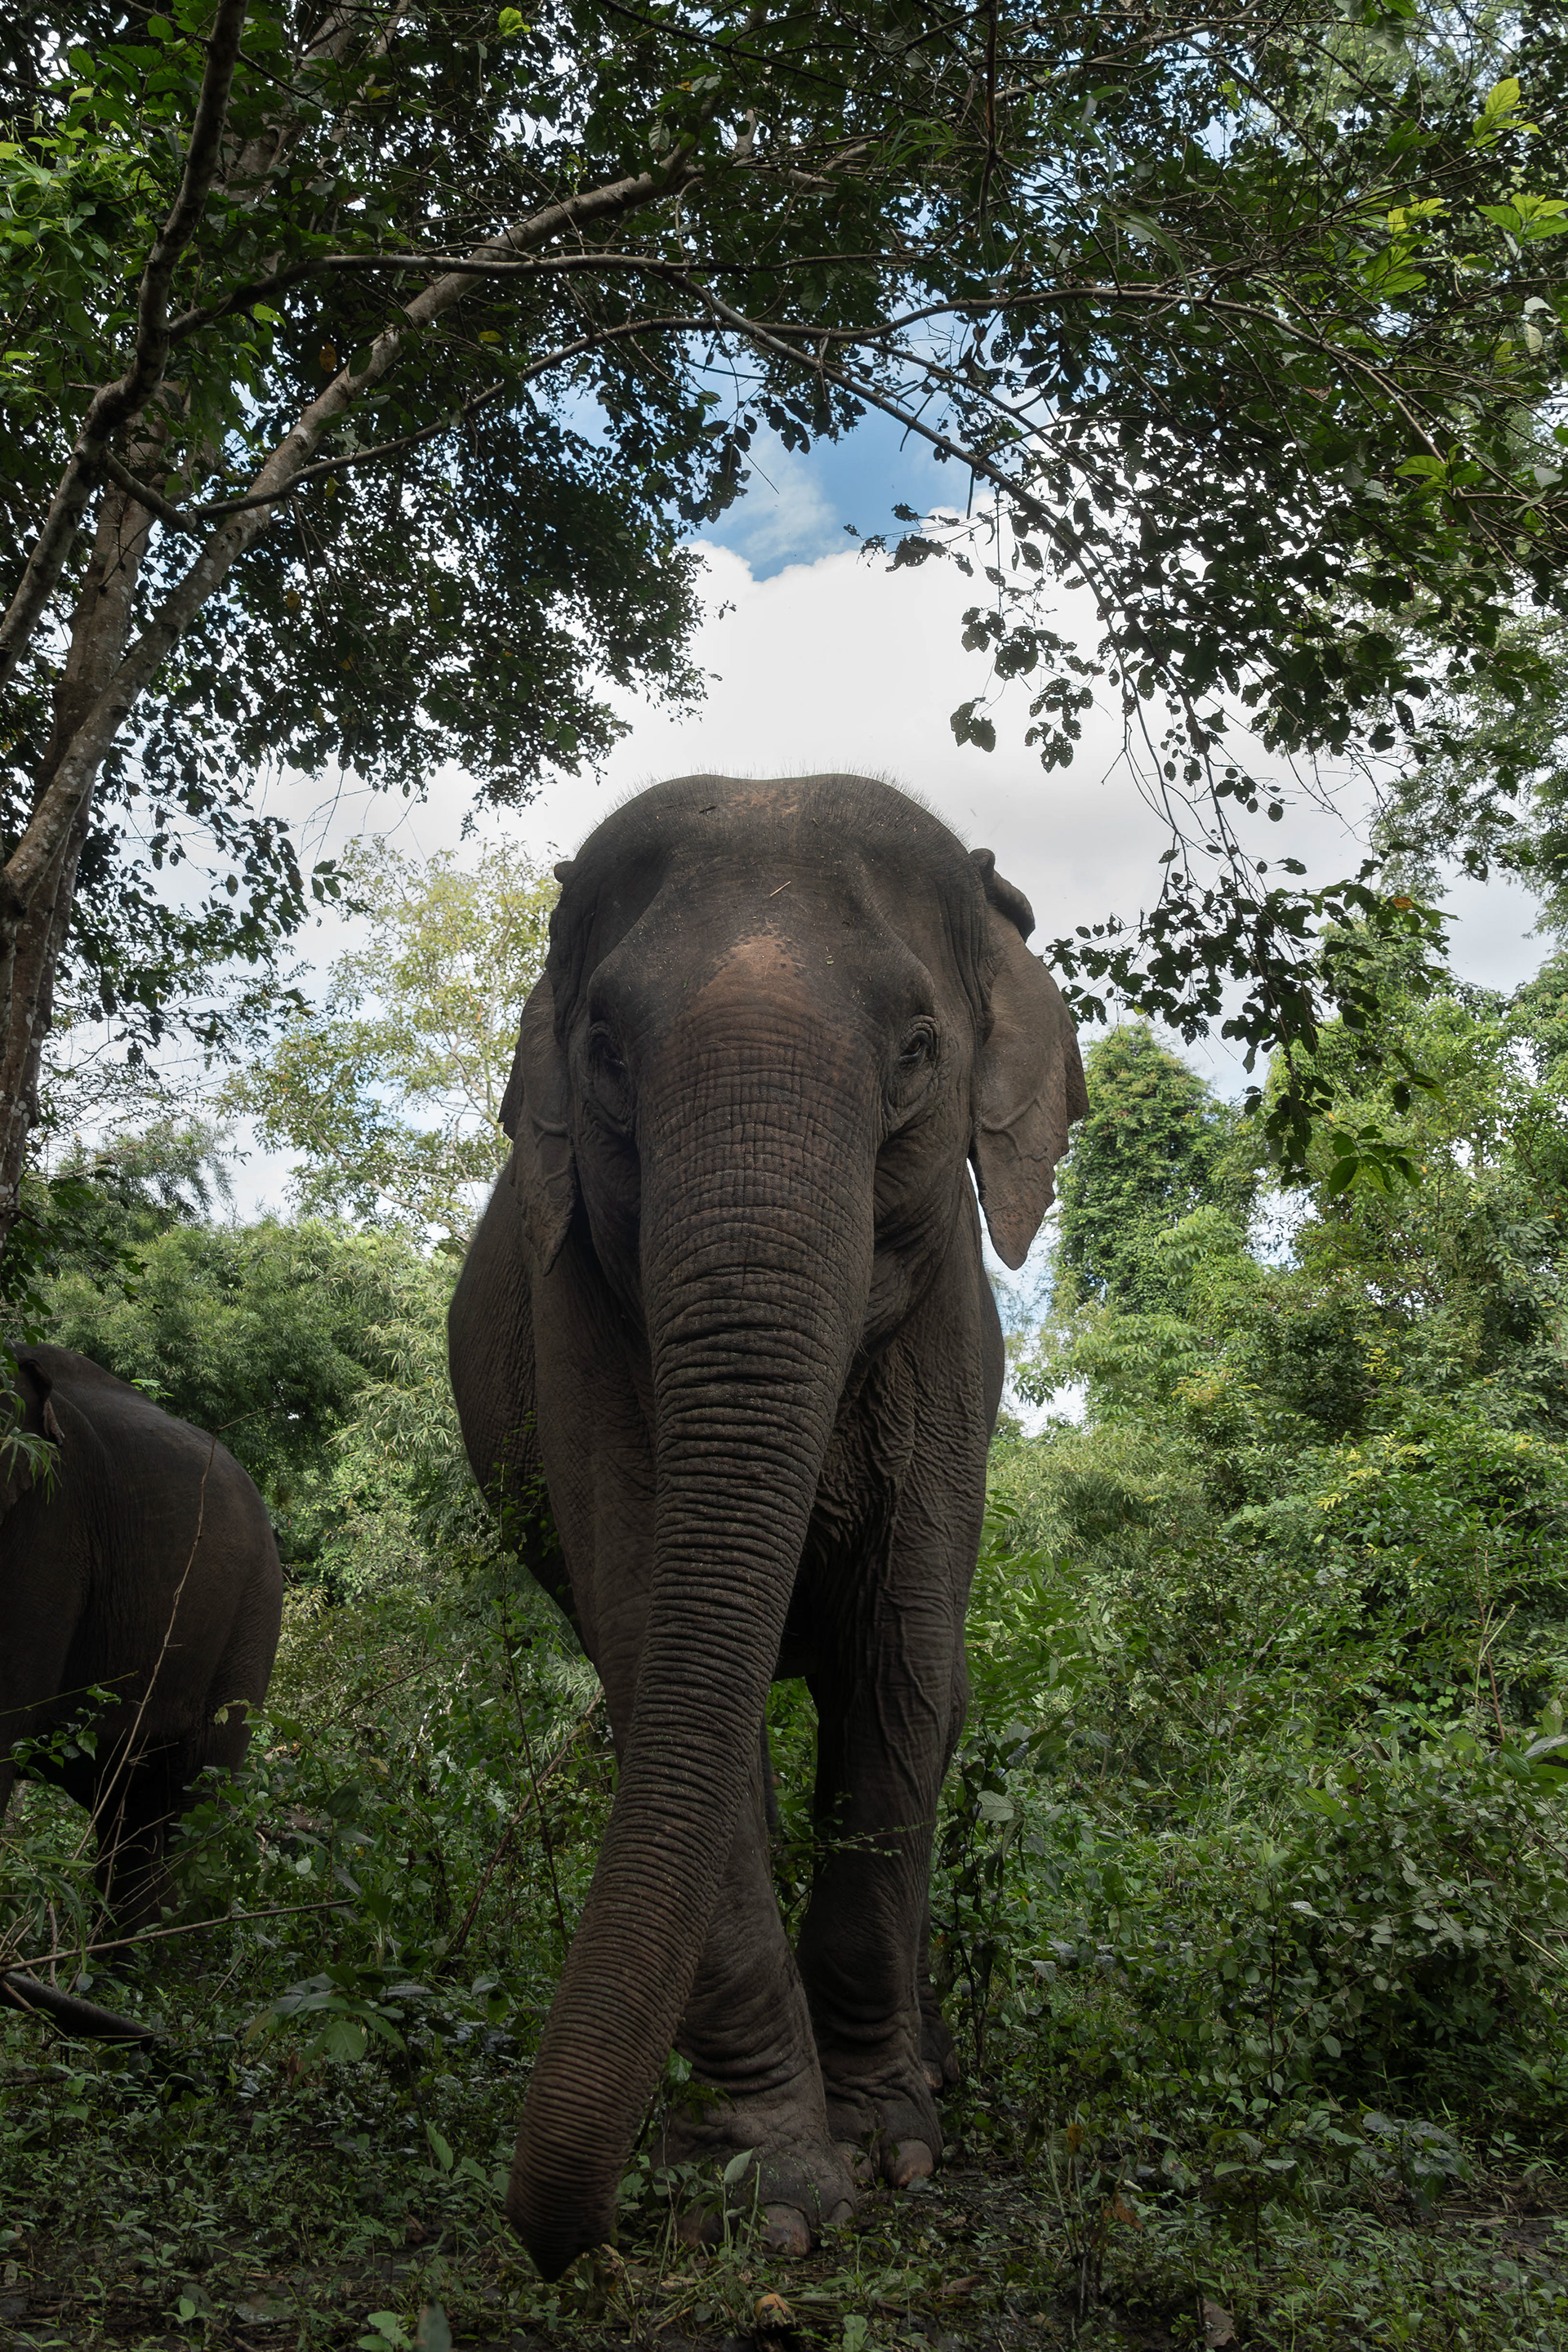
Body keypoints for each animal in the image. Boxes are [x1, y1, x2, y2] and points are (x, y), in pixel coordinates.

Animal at [448, 772, 1086, 2281]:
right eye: (607, 1051)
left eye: (917, 1049)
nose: (565, 2243)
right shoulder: (579, 1320)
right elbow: (659, 1656)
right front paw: (770, 2197)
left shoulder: (953, 1351)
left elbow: (900, 1674)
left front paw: (893, 2149)